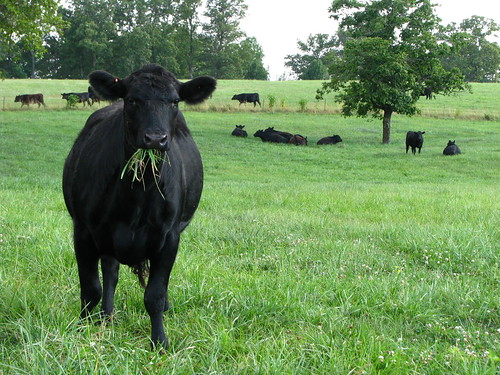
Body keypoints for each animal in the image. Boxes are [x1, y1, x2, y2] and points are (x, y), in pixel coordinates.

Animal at [61, 64, 216, 350]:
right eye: (132, 100)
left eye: (174, 101)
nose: (155, 139)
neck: (137, 195)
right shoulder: (84, 231)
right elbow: (90, 289)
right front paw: (81, 332)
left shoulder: (169, 237)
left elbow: (154, 294)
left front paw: (160, 342)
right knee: (110, 273)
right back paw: (107, 315)